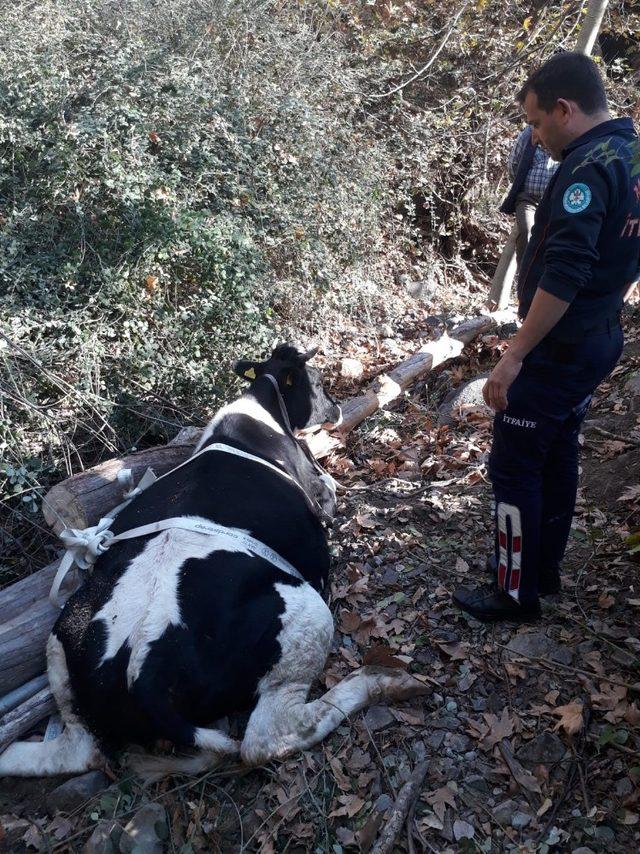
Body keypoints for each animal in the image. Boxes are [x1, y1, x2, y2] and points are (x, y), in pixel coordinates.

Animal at [1, 344, 430, 780]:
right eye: (319, 382)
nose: (339, 408)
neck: (257, 410)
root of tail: (141, 672)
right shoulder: (321, 493)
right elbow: (329, 488)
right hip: (305, 614)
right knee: (267, 738)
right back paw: (383, 681)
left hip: (61, 646)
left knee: (74, 751)